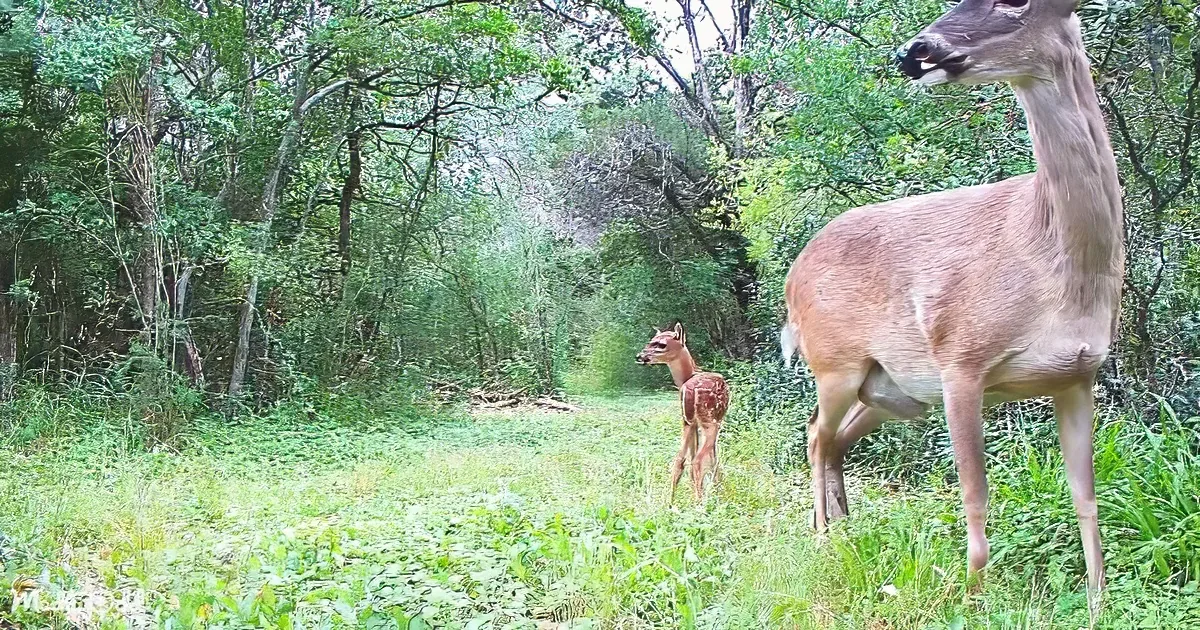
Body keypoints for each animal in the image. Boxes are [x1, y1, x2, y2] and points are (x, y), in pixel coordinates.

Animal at [637, 323, 730, 502]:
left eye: (661, 344)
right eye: (652, 341)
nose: (640, 356)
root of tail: (687, 389)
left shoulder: (690, 422)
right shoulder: (714, 421)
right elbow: (714, 457)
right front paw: (719, 491)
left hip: (688, 421)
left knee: (680, 459)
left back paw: (670, 502)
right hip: (710, 420)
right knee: (698, 460)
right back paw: (699, 502)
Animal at [780, 0, 1122, 610]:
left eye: (1016, 3)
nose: (914, 51)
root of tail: (793, 279)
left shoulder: (1078, 374)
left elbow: (1086, 496)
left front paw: (1098, 602)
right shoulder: (960, 358)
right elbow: (975, 494)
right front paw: (971, 595)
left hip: (889, 391)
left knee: (833, 439)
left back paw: (846, 528)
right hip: (836, 363)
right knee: (815, 435)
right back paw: (821, 535)